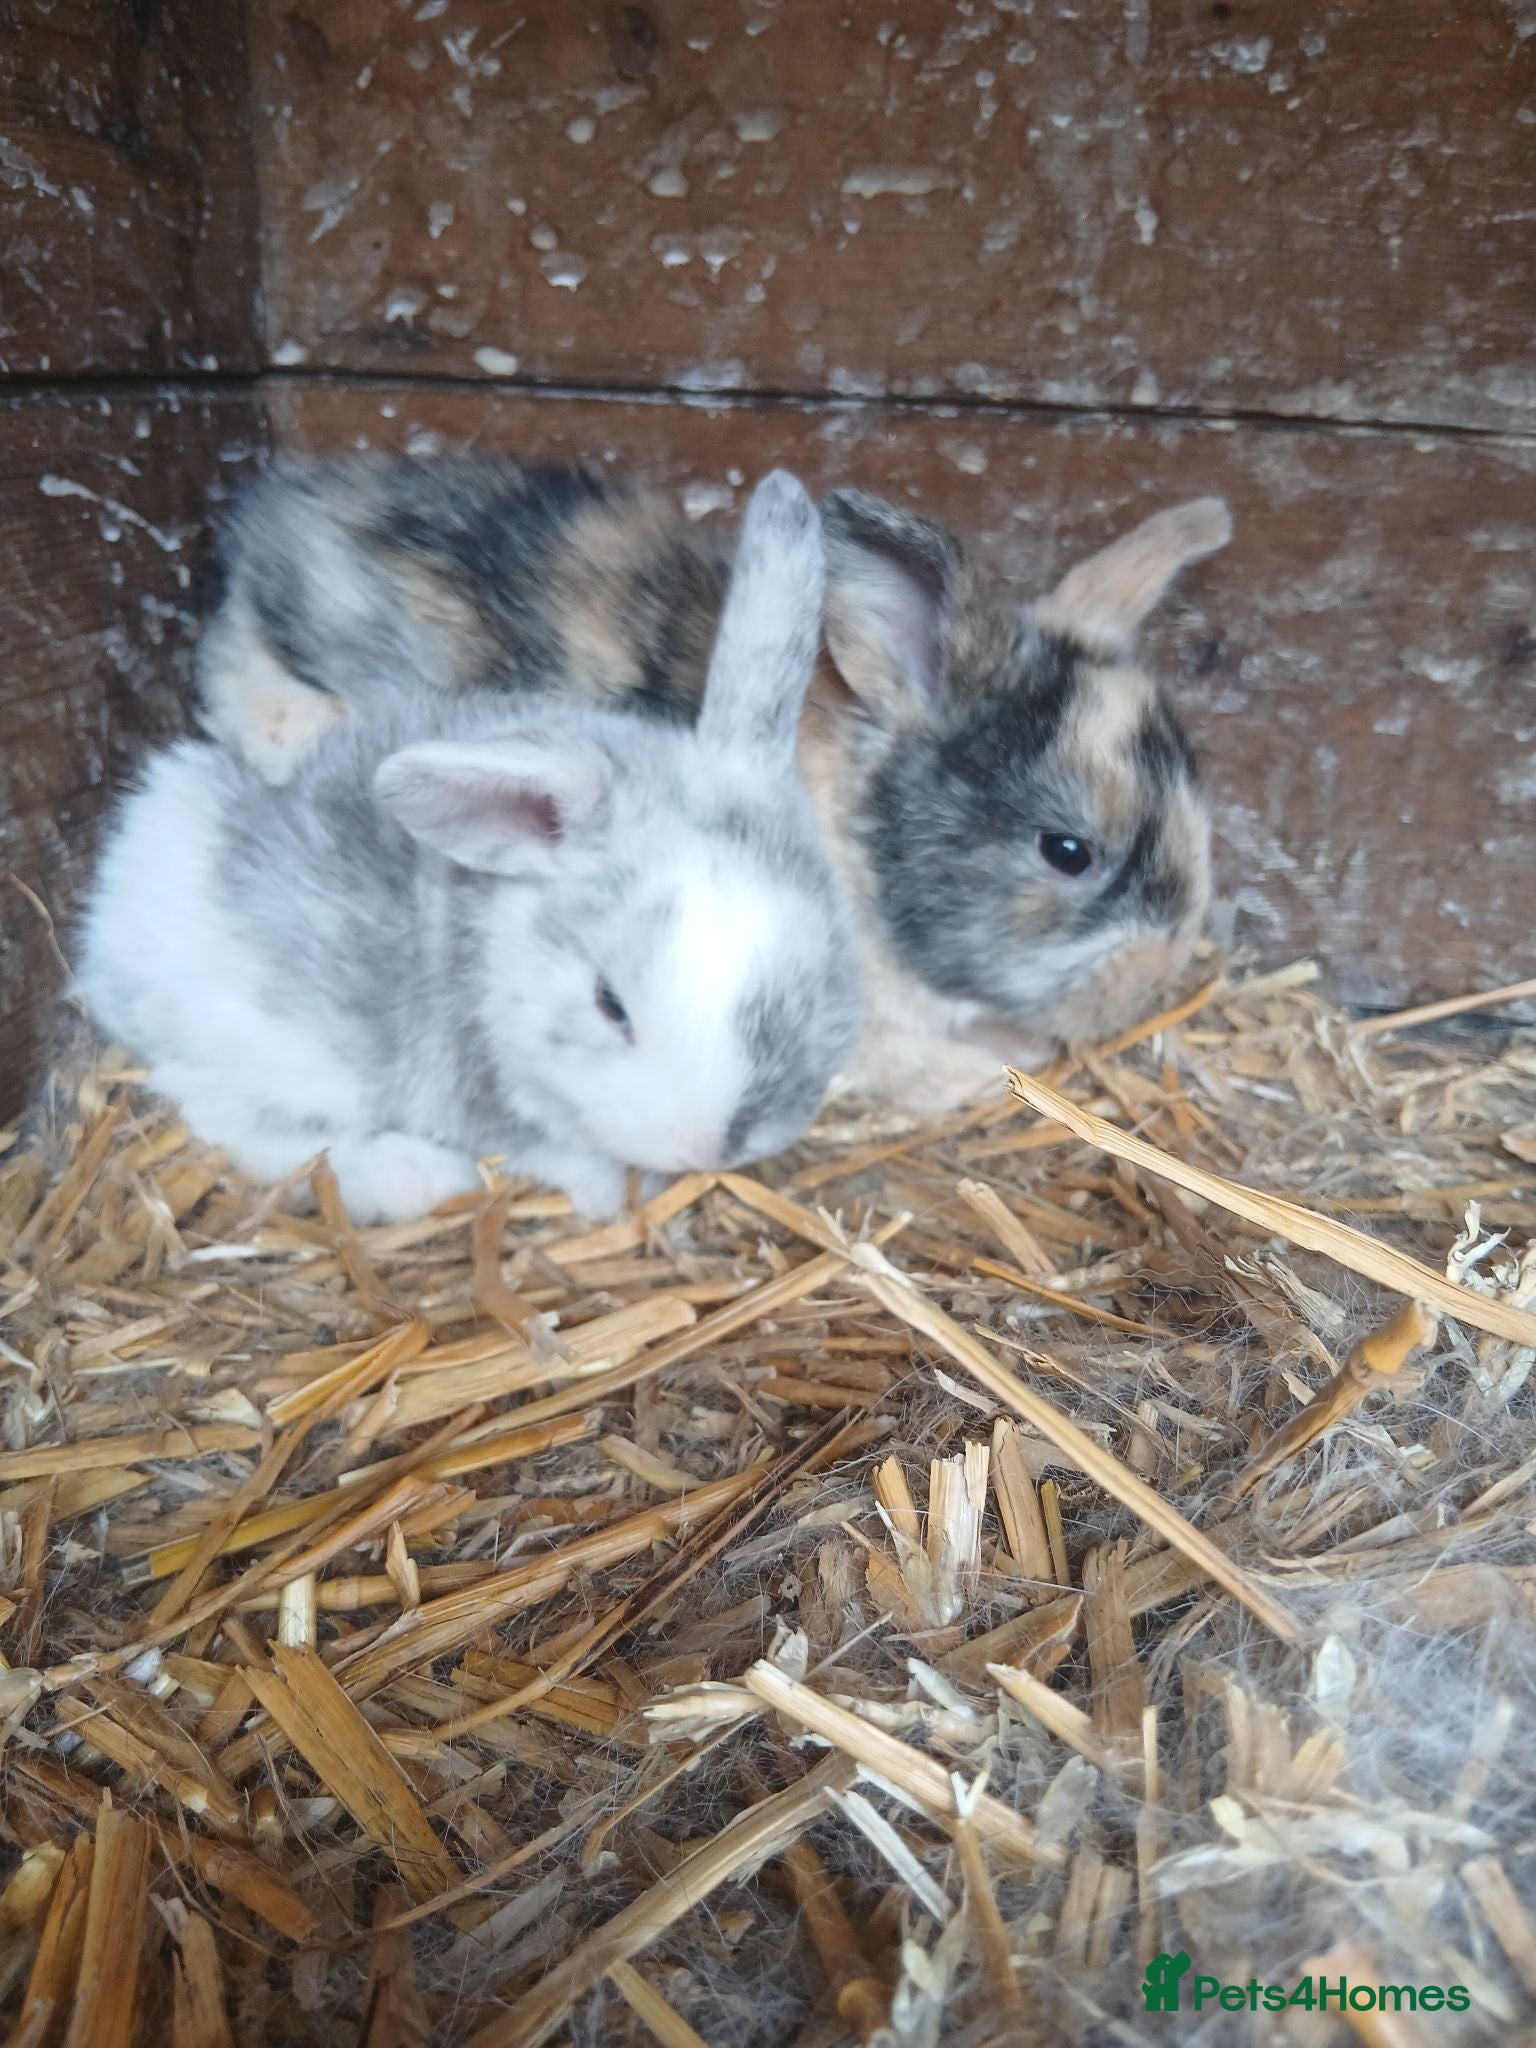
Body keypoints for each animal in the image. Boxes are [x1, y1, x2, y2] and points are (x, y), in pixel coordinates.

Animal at [79, 472, 859, 1224]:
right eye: (609, 1004)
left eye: (822, 976)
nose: (705, 1148)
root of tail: (110, 906)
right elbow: (550, 1155)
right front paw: (609, 1196)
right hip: (258, 1045)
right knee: (236, 1118)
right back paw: (416, 1177)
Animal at [195, 453, 1229, 1112]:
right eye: (1068, 851)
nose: (1157, 978)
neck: (853, 834)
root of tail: (279, 521)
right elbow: (905, 1066)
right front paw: (981, 1077)